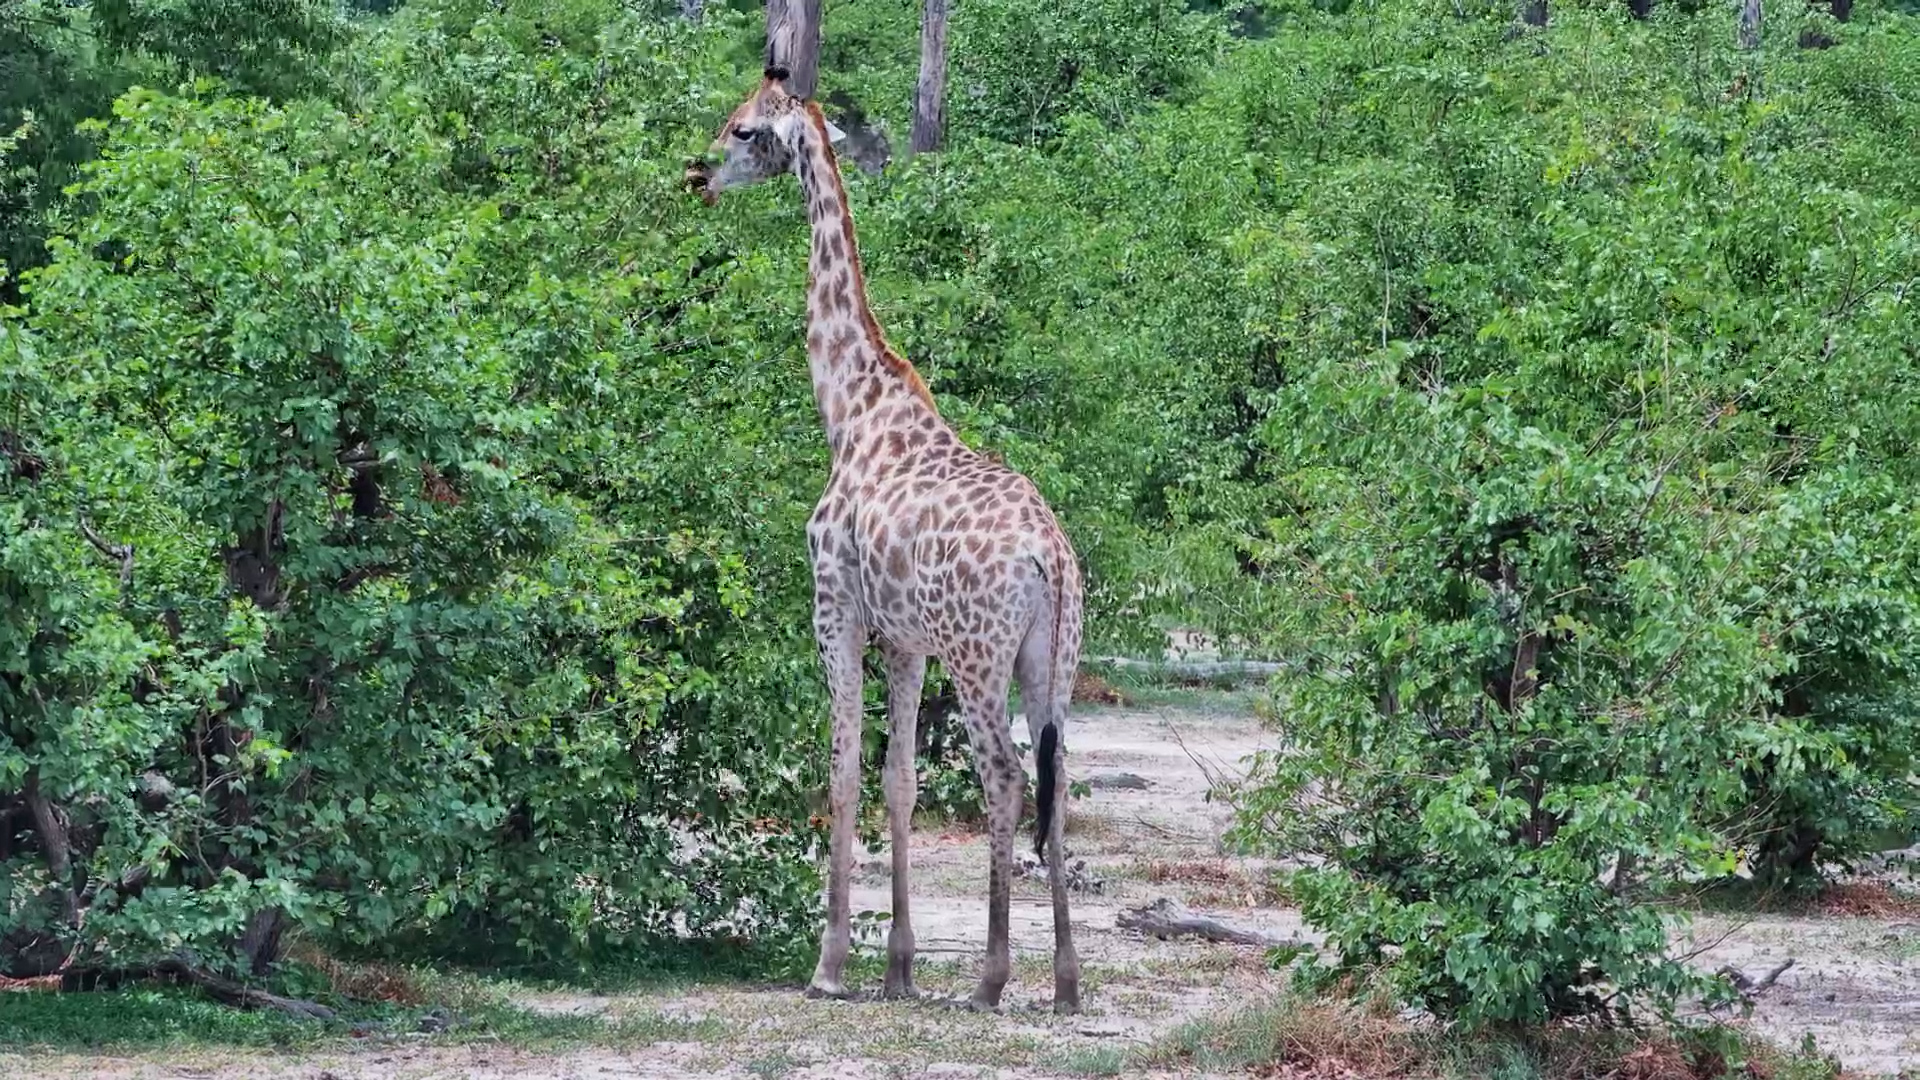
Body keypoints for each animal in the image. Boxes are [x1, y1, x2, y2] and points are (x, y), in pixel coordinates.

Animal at [686, 67, 1084, 1014]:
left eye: (744, 129)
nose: (700, 175)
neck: (848, 406)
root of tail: (1049, 555)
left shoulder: (834, 606)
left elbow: (840, 771)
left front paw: (829, 966)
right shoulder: (906, 641)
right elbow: (899, 780)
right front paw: (898, 967)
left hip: (979, 657)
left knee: (1005, 778)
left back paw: (990, 979)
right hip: (1054, 659)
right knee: (1058, 789)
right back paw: (1065, 983)